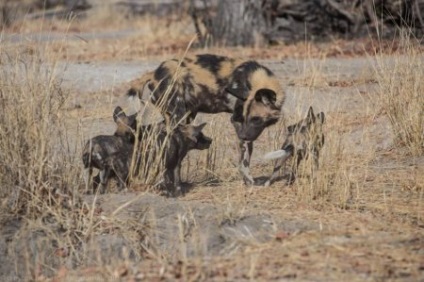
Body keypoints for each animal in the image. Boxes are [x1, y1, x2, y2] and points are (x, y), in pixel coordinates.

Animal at [126, 53, 284, 185]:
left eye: (256, 119)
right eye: (242, 118)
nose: (243, 136)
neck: (253, 78)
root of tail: (154, 73)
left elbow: (246, 154)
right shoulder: (237, 123)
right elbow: (244, 159)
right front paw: (249, 181)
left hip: (186, 116)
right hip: (178, 117)